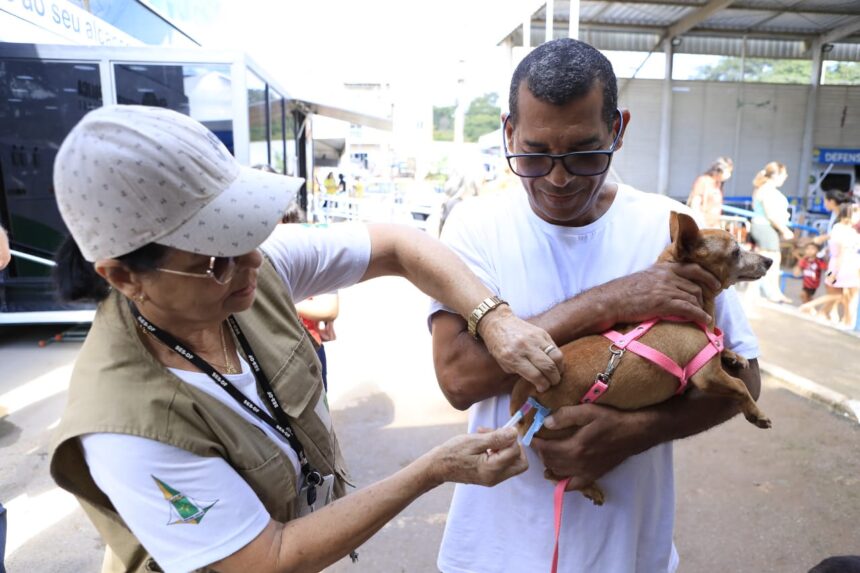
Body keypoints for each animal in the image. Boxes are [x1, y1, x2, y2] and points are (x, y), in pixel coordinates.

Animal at [510, 210, 772, 504]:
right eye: (736, 251)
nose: (769, 260)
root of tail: (520, 401)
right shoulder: (707, 375)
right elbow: (739, 385)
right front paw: (756, 412)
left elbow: (721, 345)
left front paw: (734, 355)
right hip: (561, 434)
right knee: (553, 475)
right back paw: (588, 487)